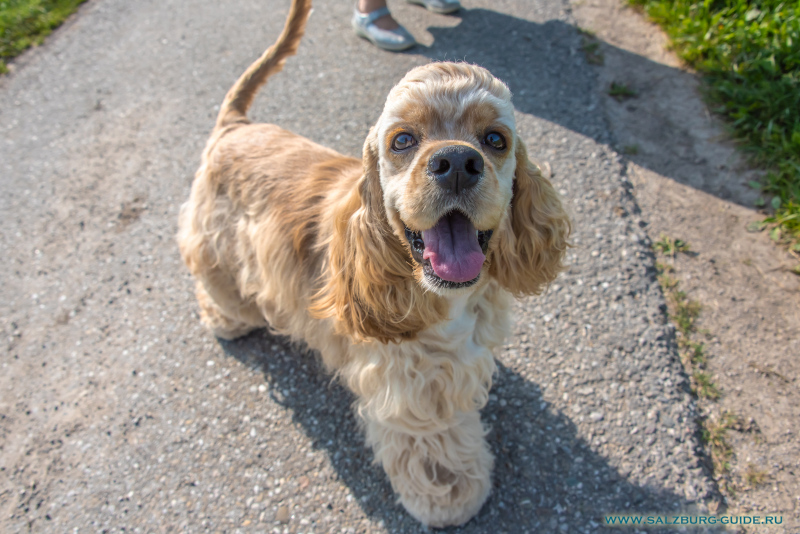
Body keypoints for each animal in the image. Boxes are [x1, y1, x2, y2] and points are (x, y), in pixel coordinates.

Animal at [179, 0, 572, 528]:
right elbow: (433, 442)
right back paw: (225, 319)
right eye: (402, 141)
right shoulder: (409, 383)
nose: (456, 161)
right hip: (216, 244)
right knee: (215, 285)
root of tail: (235, 125)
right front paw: (451, 496)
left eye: (495, 138)